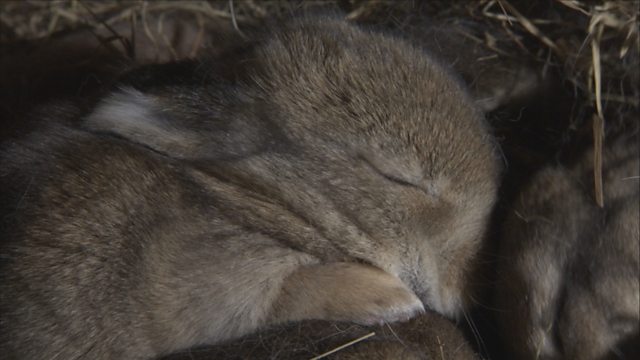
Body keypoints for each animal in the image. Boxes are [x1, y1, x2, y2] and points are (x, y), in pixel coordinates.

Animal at [0, 17, 500, 360]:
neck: (258, 199)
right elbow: (293, 287)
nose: (466, 287)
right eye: (398, 177)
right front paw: (395, 302)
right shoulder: (219, 286)